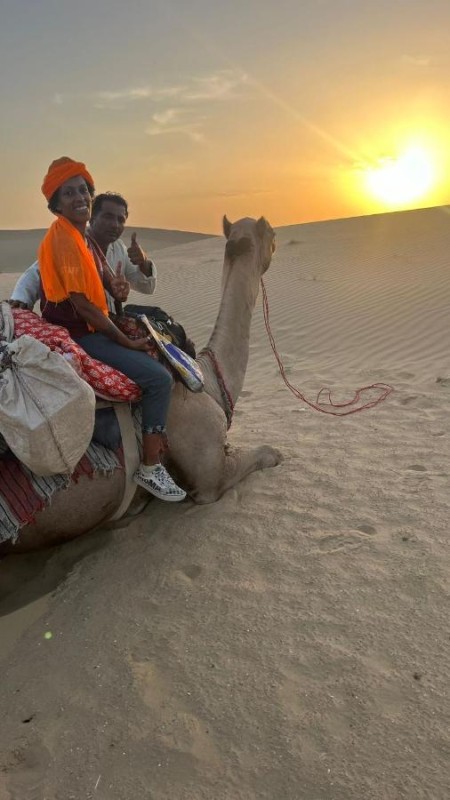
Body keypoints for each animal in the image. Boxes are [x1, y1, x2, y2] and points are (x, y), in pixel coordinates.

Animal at [1, 216, 282, 553]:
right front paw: (276, 455)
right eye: (271, 234)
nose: (277, 240)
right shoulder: (210, 477)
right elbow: (264, 454)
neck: (208, 381)